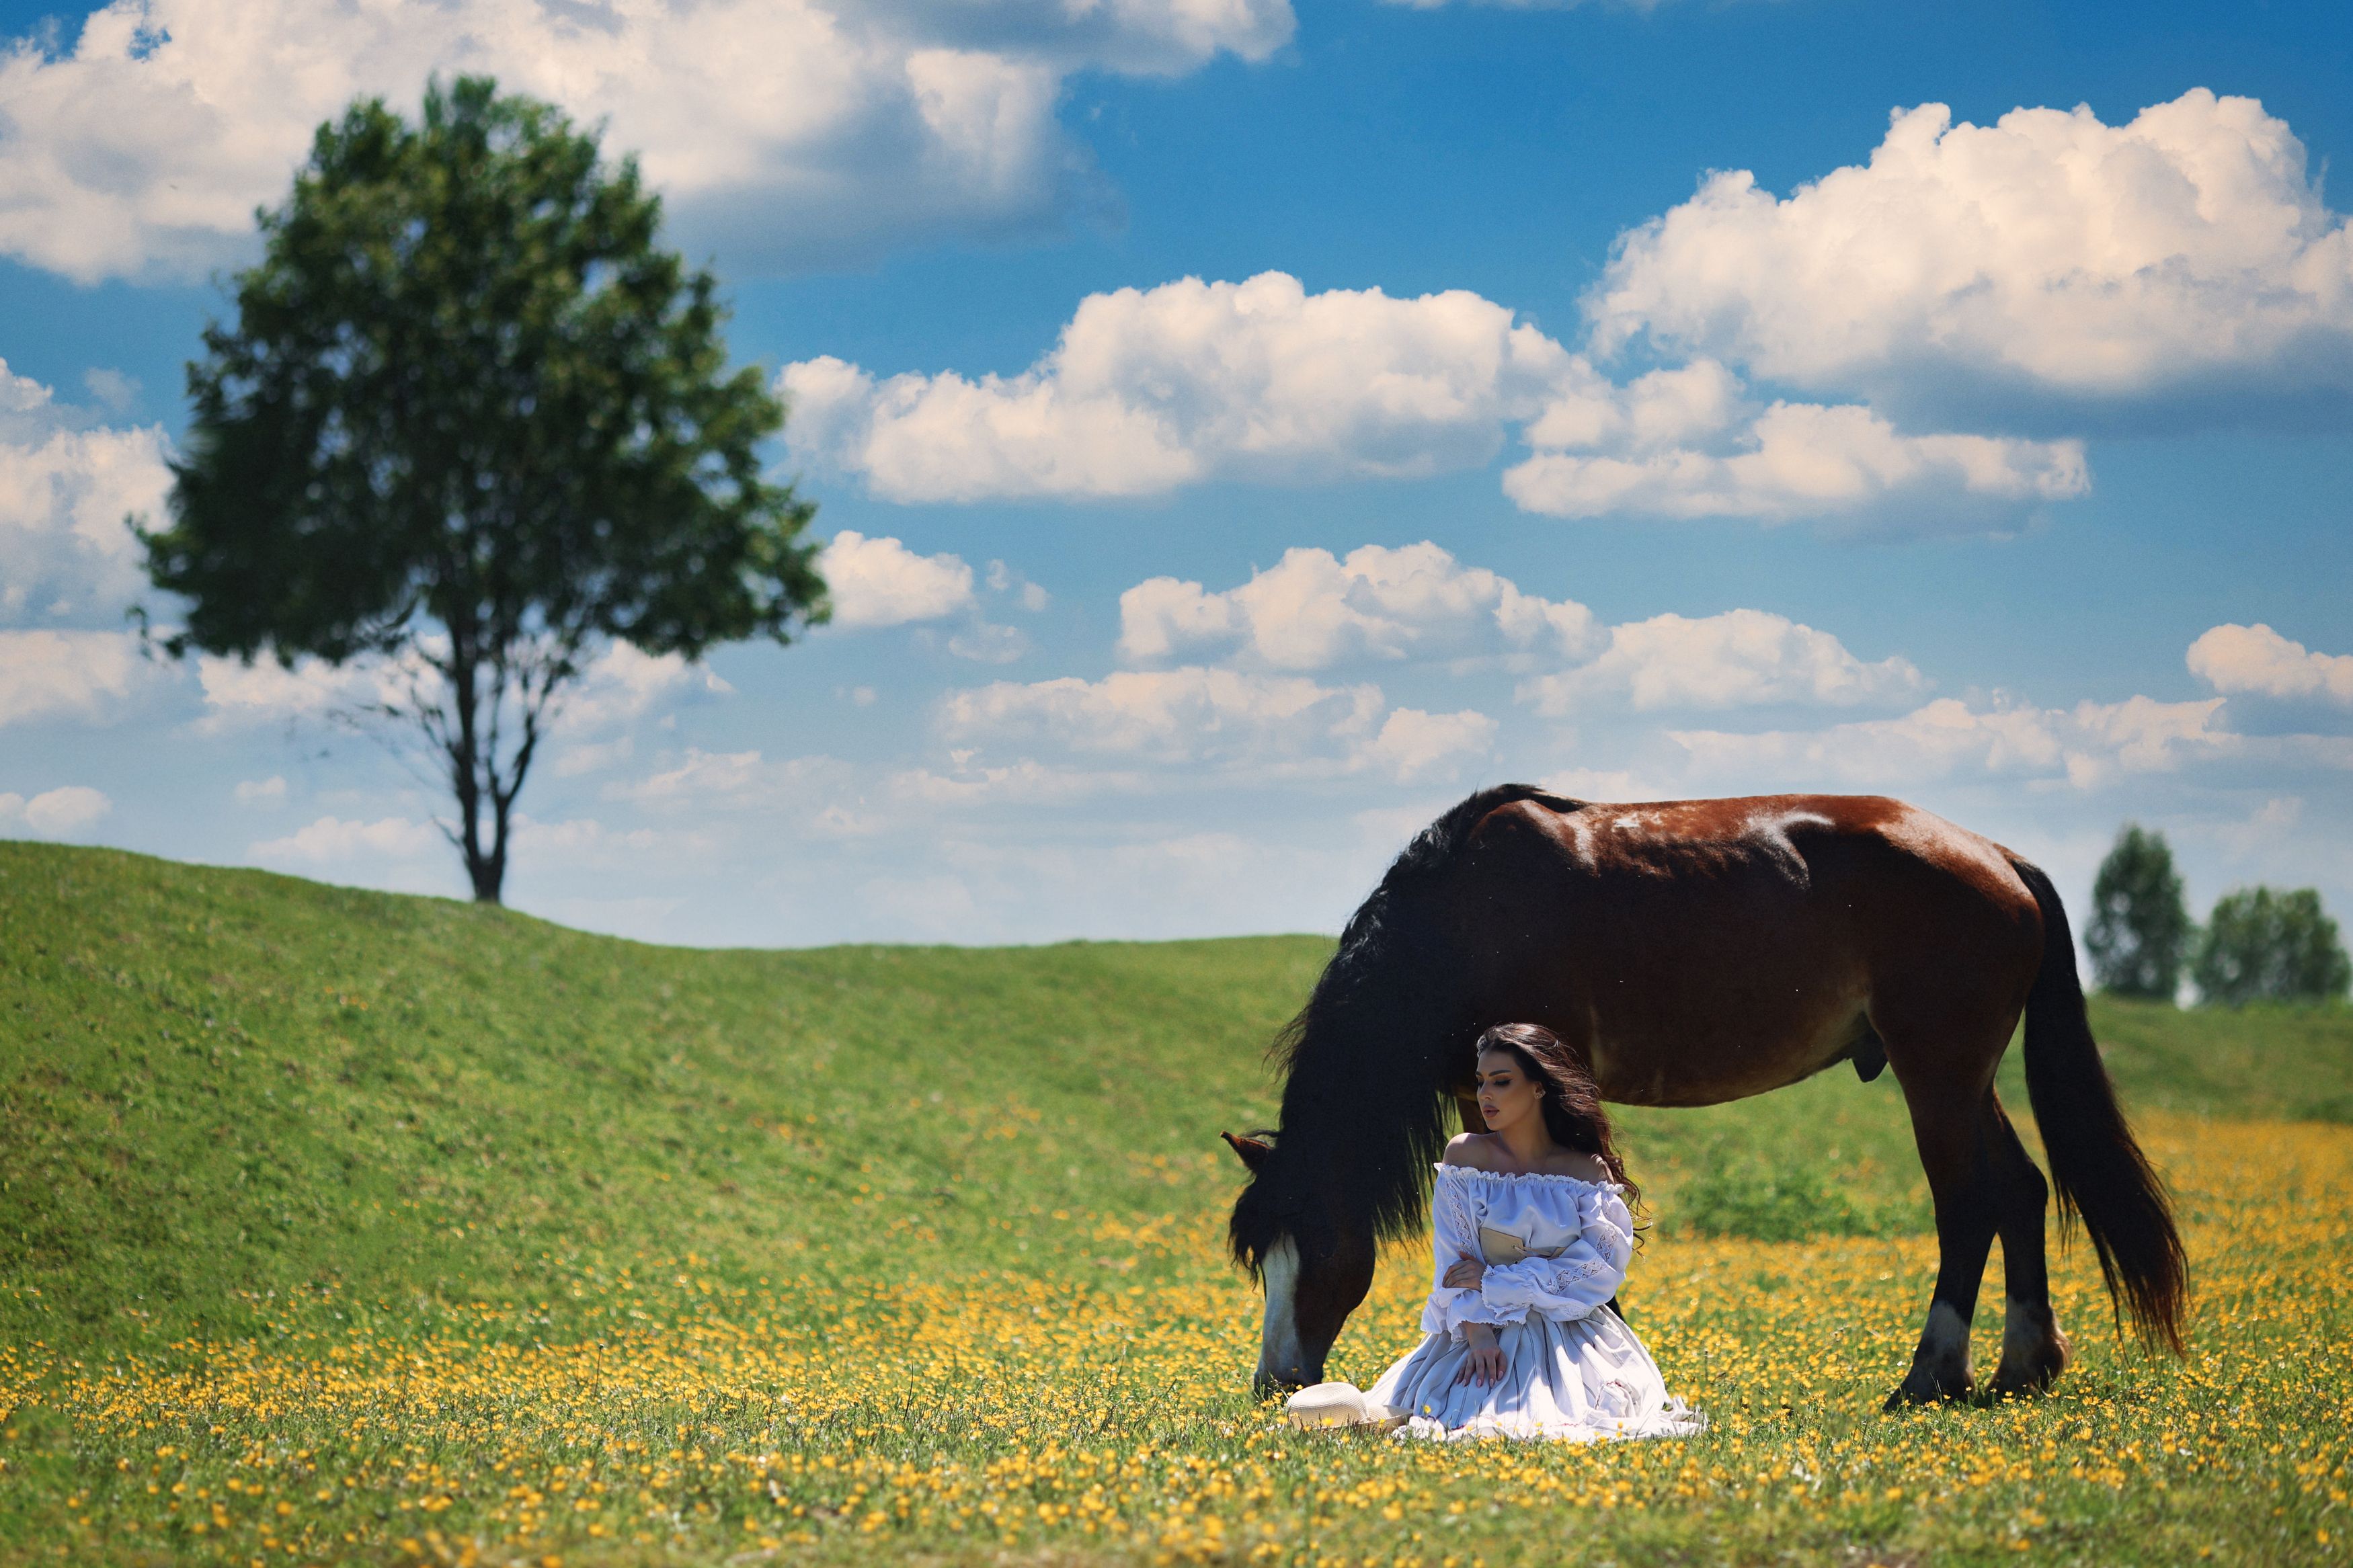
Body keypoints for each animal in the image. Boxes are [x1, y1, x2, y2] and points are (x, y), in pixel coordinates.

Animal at [1233, 785, 2184, 1410]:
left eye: (1313, 1246)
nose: (1275, 1379)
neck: (1462, 916)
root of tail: (1997, 856)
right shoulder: (1487, 1099)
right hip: (1964, 1079)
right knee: (2019, 1188)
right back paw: (2022, 1365)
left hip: (1937, 1074)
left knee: (1966, 1204)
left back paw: (1929, 1374)